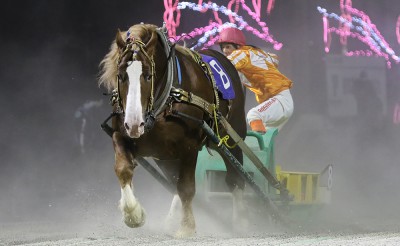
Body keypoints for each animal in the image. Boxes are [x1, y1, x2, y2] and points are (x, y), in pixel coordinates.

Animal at [99, 24, 247, 237]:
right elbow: (123, 169)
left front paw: (187, 227)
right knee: (174, 180)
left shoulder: (189, 145)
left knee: (235, 178)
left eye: (148, 75)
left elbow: (186, 187)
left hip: (232, 138)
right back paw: (169, 220)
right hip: (166, 159)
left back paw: (240, 222)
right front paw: (133, 213)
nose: (134, 124)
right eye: (121, 76)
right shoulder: (121, 134)